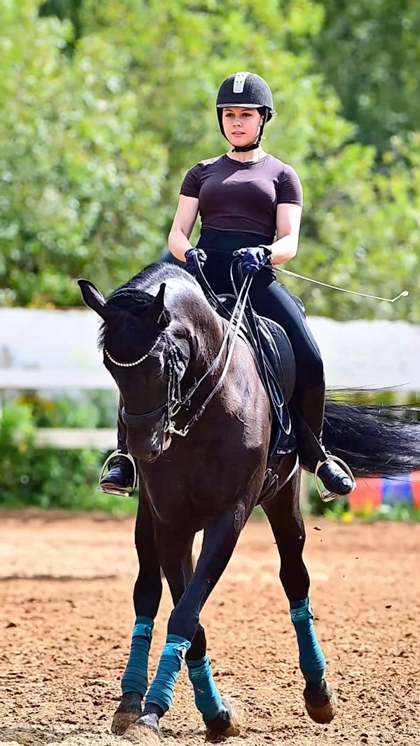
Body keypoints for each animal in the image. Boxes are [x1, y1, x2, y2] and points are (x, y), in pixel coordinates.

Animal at [79, 262, 420, 742]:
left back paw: (318, 694)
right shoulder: (172, 523)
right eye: (111, 364)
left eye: (168, 361)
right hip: (147, 516)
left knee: (295, 578)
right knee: (146, 589)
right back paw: (129, 701)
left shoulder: (229, 518)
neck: (202, 408)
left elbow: (186, 615)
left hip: (284, 499)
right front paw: (192, 713)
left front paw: (182, 713)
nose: (144, 445)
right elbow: (187, 614)